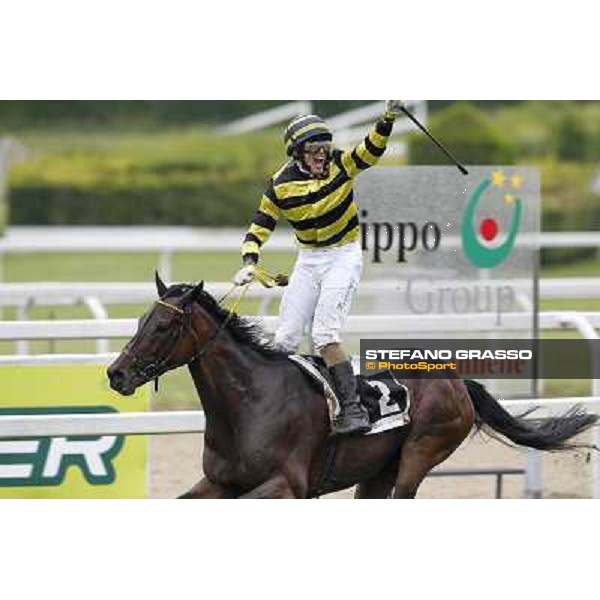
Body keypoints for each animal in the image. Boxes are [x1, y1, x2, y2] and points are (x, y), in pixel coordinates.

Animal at [106, 278, 596, 502]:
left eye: (163, 325)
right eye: (141, 320)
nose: (116, 374)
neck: (247, 403)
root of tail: (455, 379)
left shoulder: (286, 485)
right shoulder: (218, 483)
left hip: (420, 453)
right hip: (376, 472)